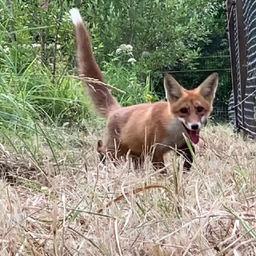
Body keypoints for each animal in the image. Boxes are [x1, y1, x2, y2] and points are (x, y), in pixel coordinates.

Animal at [69, 8, 218, 173]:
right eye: (183, 110)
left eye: (200, 109)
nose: (195, 126)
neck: (173, 130)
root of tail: (116, 109)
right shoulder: (155, 151)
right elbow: (162, 172)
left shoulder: (184, 147)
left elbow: (189, 160)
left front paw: (183, 175)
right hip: (116, 150)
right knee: (101, 148)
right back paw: (103, 164)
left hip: (135, 155)